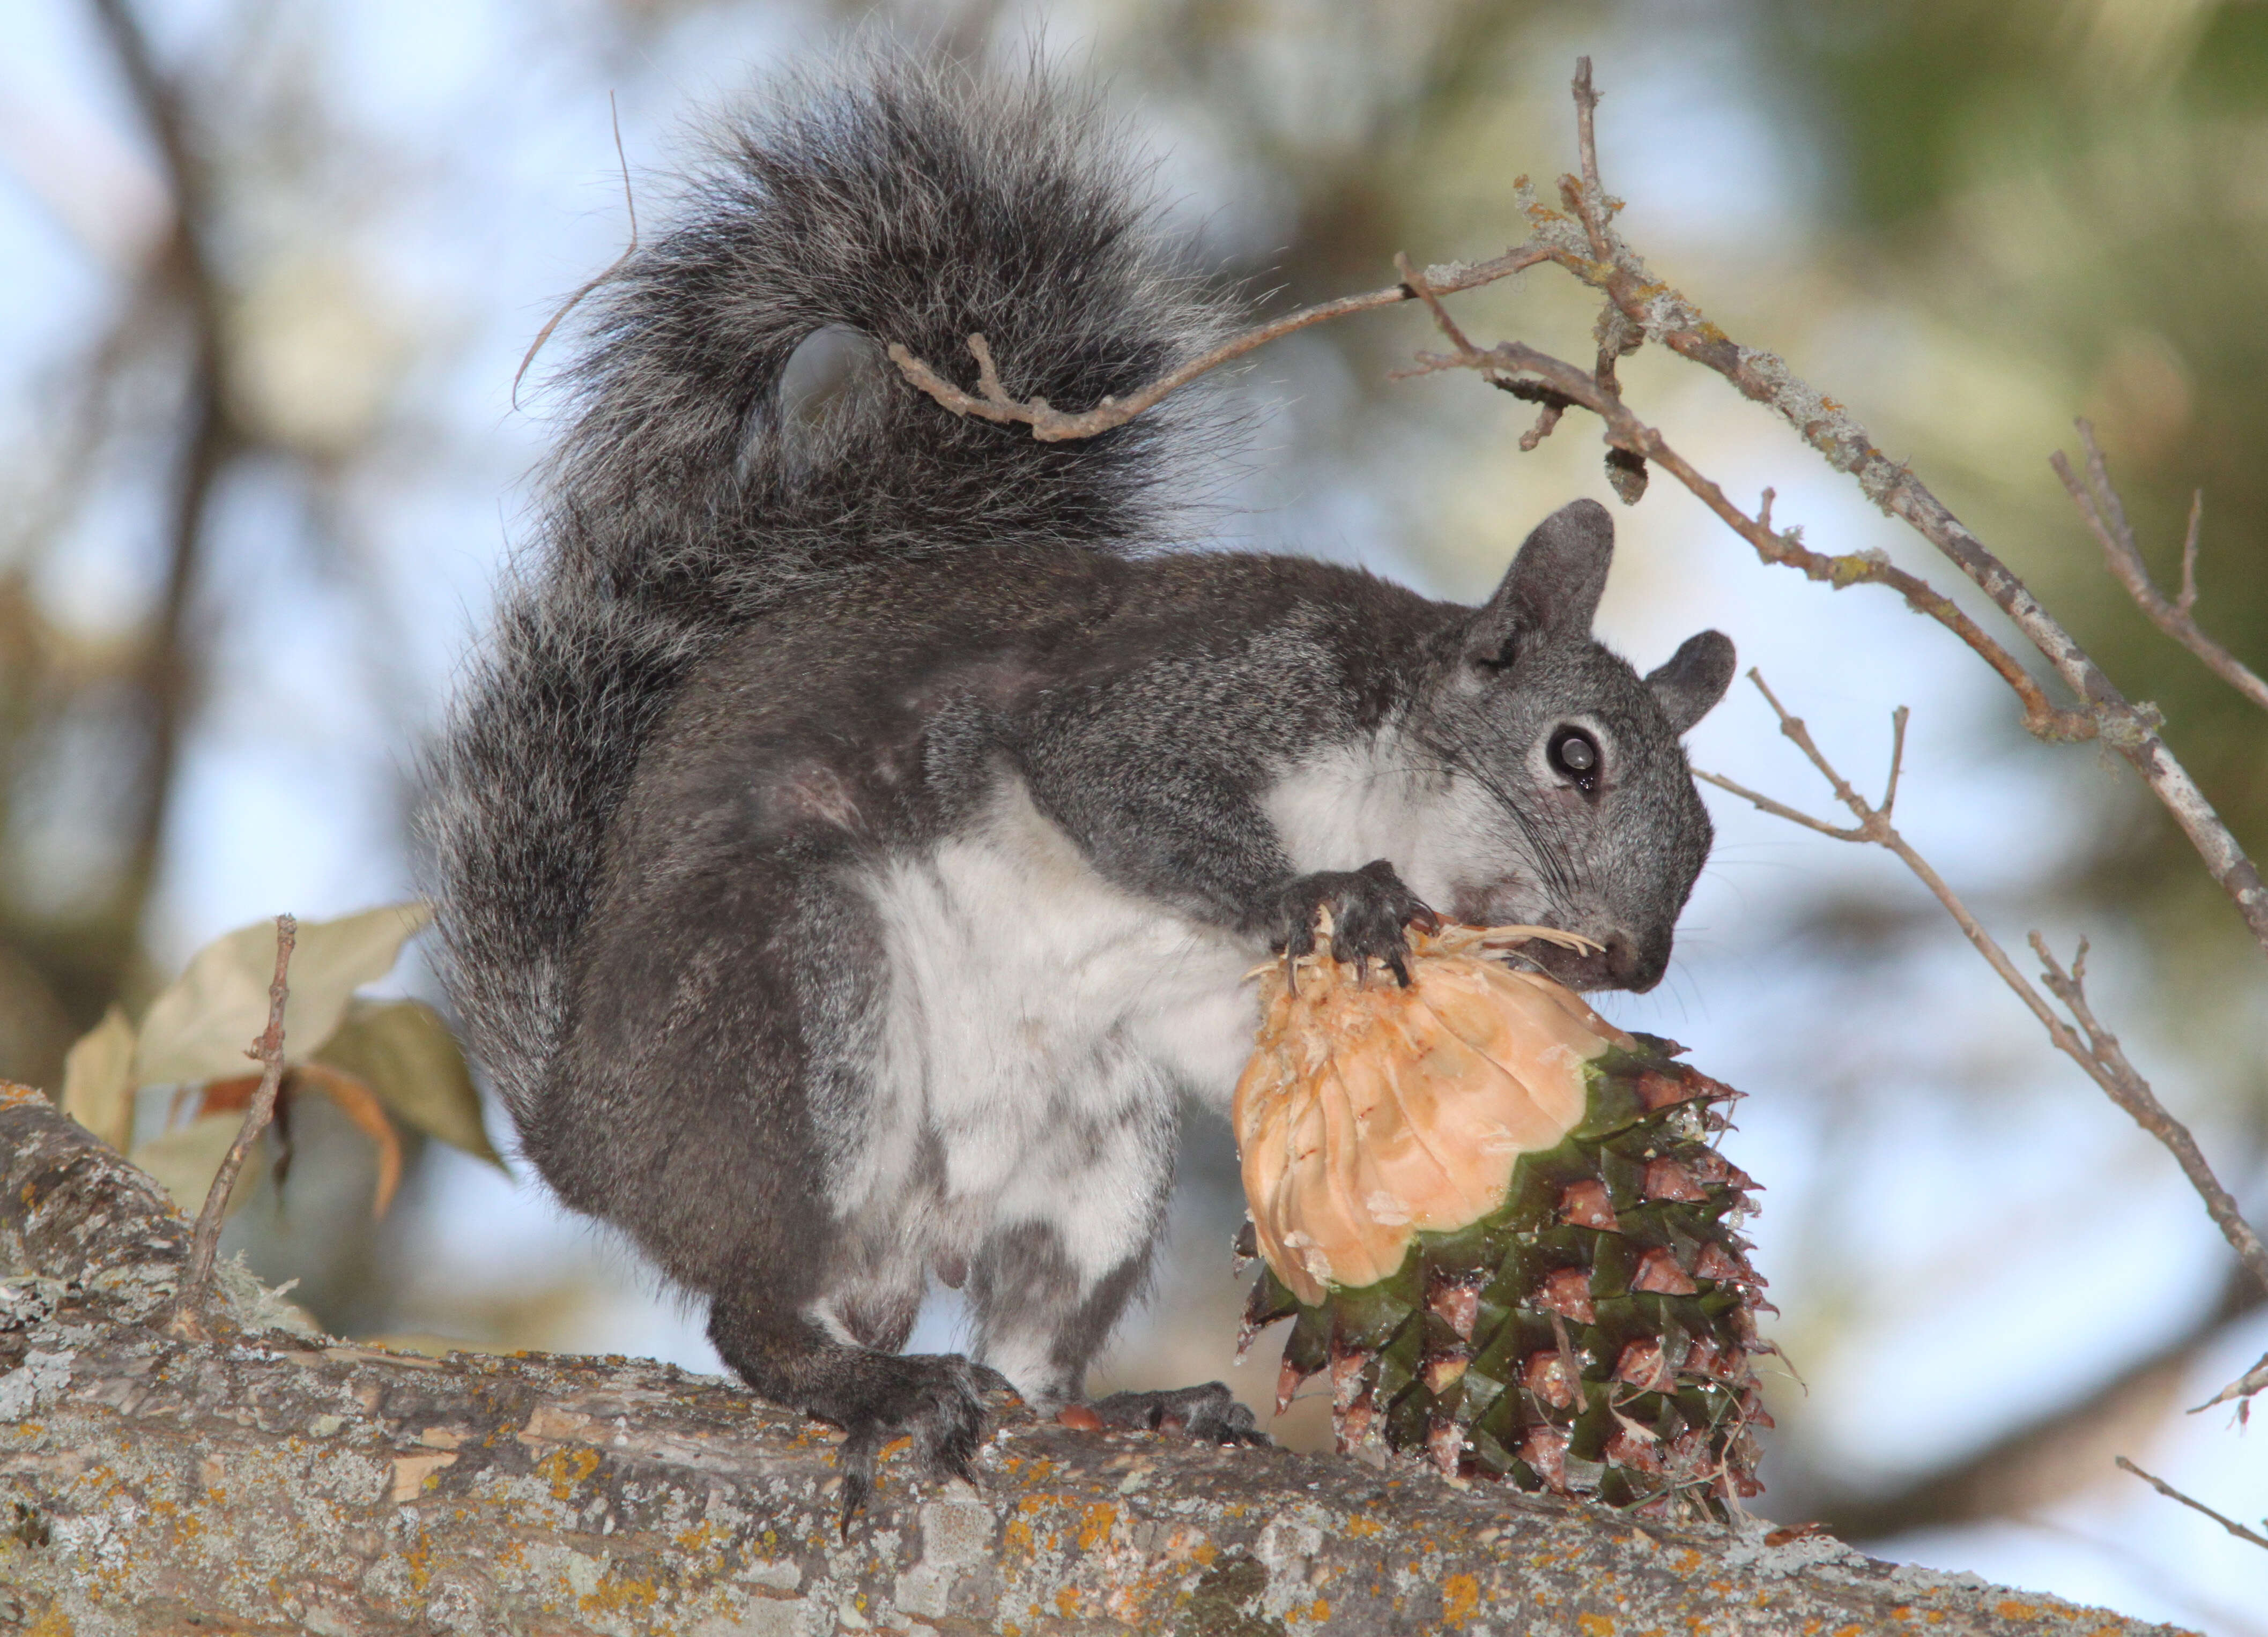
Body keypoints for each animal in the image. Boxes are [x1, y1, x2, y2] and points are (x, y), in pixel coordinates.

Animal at [421, 61, 1732, 1514]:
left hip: (1097, 1144)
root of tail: (584, 1136)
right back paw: (866, 1380)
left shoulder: (1218, 1010)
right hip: (791, 998)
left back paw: (1131, 1407)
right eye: (1574, 756)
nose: (1633, 962)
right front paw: (1333, 891)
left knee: (1033, 1350)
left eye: (1707, 836)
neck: (1387, 778)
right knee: (756, 1303)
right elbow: (1111, 783)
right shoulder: (1214, 687)